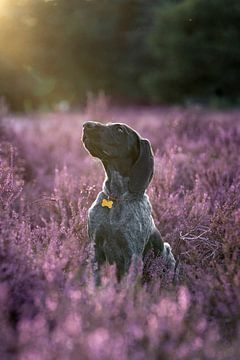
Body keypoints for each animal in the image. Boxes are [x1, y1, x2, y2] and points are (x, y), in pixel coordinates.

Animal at [81, 121, 175, 284]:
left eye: (120, 130)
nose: (86, 125)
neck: (117, 197)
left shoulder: (132, 255)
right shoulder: (95, 247)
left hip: (168, 253)